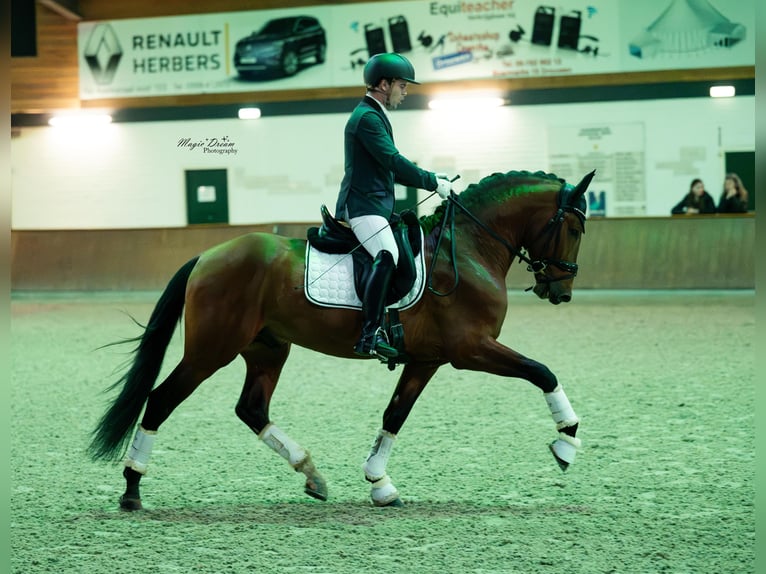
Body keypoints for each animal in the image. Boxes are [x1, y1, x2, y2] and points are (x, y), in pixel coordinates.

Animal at [88, 170, 592, 508]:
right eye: (573, 228)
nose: (561, 291)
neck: (465, 249)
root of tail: (207, 255)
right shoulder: (471, 349)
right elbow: (543, 372)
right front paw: (566, 442)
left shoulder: (426, 359)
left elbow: (395, 415)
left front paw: (380, 484)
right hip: (211, 350)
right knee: (160, 400)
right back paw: (132, 487)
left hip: (268, 348)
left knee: (251, 409)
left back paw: (312, 475)